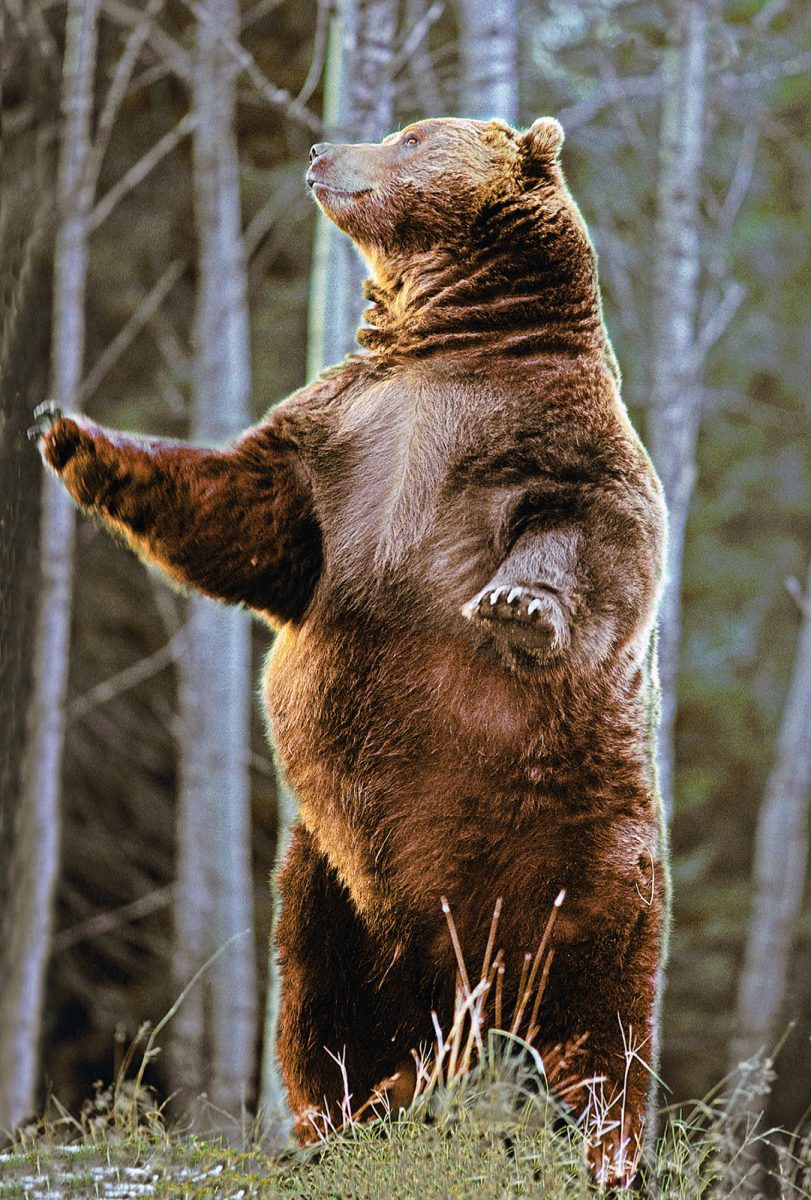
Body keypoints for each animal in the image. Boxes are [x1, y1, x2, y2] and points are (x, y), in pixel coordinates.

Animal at [30, 117, 667, 1185]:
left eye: (409, 134)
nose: (324, 151)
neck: (445, 340)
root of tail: (463, 975)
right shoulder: (336, 442)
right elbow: (241, 510)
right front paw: (71, 429)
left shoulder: (549, 438)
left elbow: (591, 531)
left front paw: (515, 605)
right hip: (332, 885)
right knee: (324, 1014)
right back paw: (338, 1128)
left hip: (581, 859)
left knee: (602, 1024)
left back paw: (600, 1153)